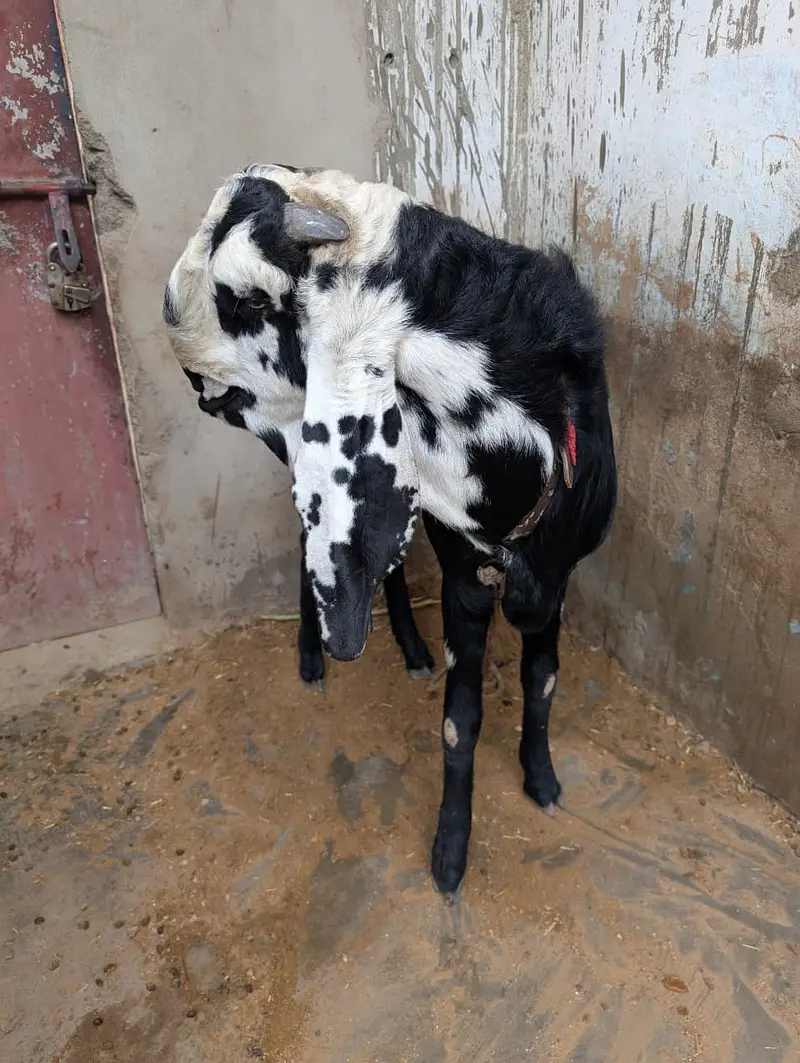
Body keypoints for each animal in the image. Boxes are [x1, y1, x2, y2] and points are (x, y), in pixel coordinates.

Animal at [163, 165, 617, 897]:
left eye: (254, 299)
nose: (184, 357)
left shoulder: (558, 578)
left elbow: (544, 679)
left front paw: (542, 779)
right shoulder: (465, 585)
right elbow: (460, 724)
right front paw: (451, 852)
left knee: (385, 560)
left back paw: (409, 646)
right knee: (314, 545)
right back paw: (313, 657)